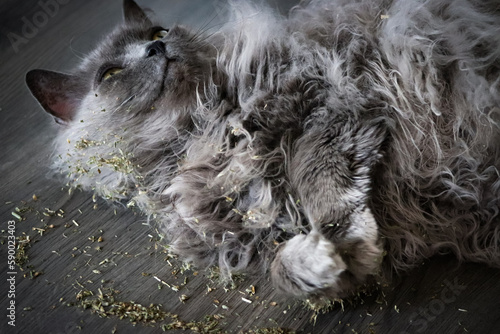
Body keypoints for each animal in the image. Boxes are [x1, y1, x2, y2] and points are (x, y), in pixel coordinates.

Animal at [26, 0, 500, 302]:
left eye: (157, 33)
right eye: (110, 74)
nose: (158, 47)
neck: (202, 132)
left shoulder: (331, 104)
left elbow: (318, 178)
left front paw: (338, 227)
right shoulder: (254, 237)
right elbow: (285, 271)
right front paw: (320, 261)